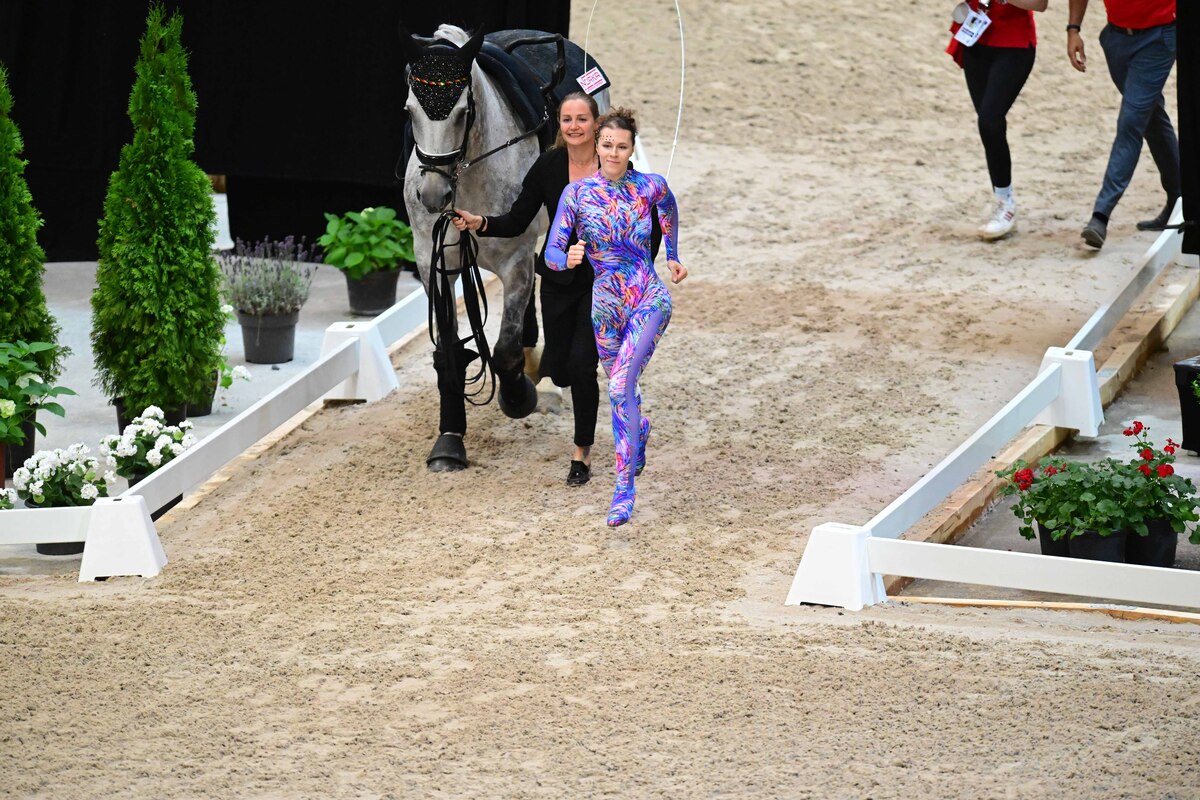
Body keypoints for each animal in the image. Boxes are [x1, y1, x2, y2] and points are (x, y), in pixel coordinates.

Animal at [400, 23, 610, 472]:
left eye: (464, 112)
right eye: (409, 111)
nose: (433, 195)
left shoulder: (514, 260)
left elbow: (505, 350)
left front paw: (518, 398)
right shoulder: (433, 262)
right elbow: (449, 352)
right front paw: (449, 442)